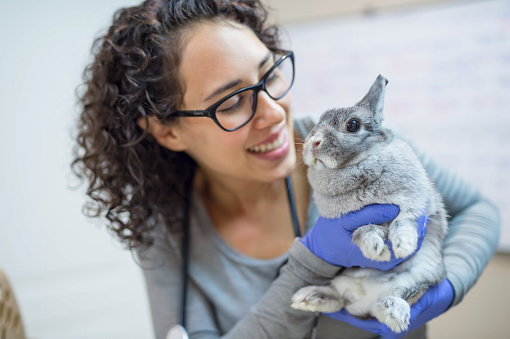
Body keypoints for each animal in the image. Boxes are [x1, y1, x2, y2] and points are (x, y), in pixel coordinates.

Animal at [290, 75, 446, 334]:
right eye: (318, 121)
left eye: (352, 125)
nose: (313, 142)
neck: (357, 164)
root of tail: (363, 296)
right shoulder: (347, 224)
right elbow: (362, 230)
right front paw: (376, 250)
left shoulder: (414, 201)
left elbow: (404, 221)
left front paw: (403, 246)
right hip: (341, 280)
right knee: (340, 300)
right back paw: (307, 298)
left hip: (421, 273)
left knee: (395, 300)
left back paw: (392, 312)